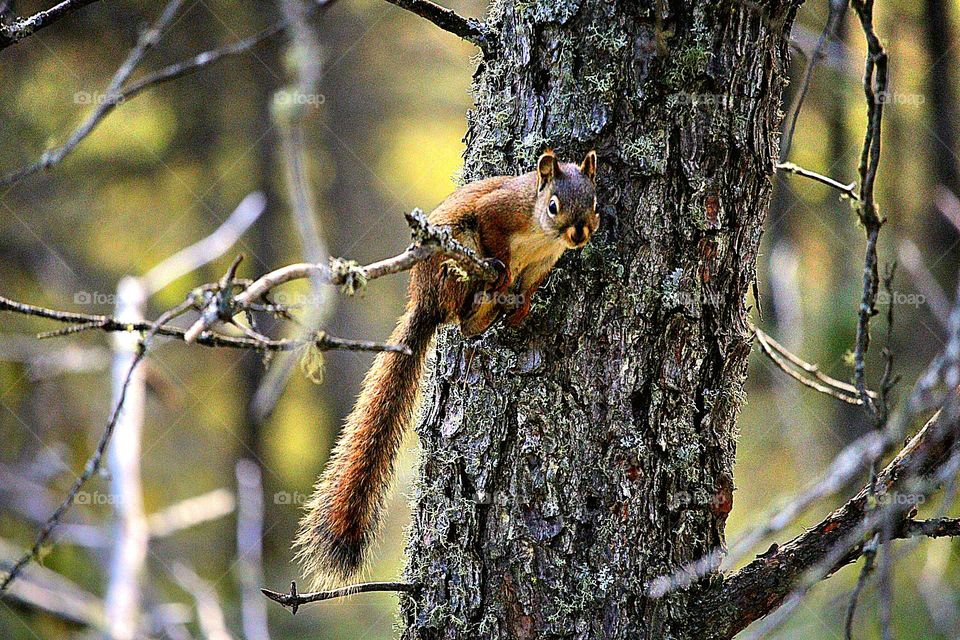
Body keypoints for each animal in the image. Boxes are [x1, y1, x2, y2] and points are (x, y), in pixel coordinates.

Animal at [294, 148, 600, 588]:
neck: (542, 233)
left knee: (469, 324)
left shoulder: (544, 264)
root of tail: (425, 301)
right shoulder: (499, 211)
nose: (579, 235)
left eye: (594, 203)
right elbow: (494, 232)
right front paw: (503, 269)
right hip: (452, 259)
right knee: (462, 312)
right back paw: (488, 293)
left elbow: (530, 286)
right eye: (554, 205)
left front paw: (523, 305)